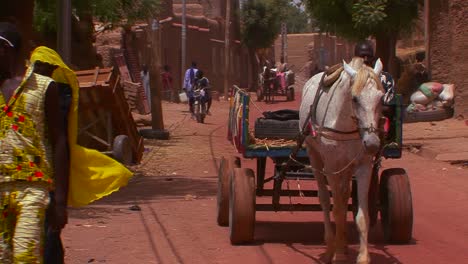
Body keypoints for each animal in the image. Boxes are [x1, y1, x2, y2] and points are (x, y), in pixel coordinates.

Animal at [300, 56, 384, 262]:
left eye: (381, 98)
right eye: (355, 98)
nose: (372, 143)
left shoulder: (363, 167)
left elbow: (362, 215)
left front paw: (363, 257)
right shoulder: (331, 167)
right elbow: (336, 210)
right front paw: (337, 254)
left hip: (346, 168)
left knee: (344, 196)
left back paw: (343, 244)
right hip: (315, 157)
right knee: (324, 199)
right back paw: (331, 246)